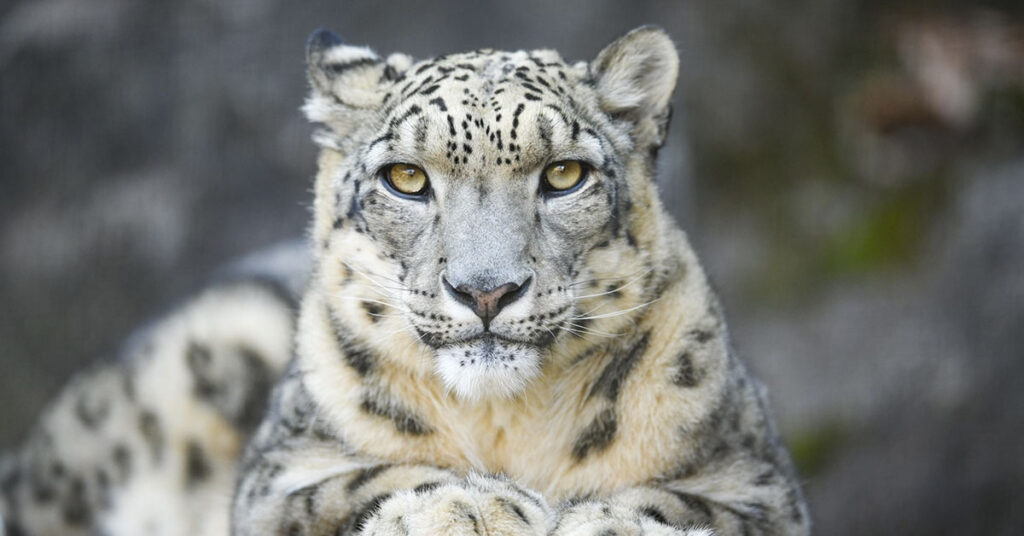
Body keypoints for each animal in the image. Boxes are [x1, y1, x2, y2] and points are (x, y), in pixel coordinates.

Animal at [0, 26, 810, 536]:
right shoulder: (273, 480)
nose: (487, 291)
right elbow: (363, 478)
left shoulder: (759, 481)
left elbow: (695, 507)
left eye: (564, 174)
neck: (506, 422)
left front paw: (605, 521)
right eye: (408, 179)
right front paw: (473, 508)